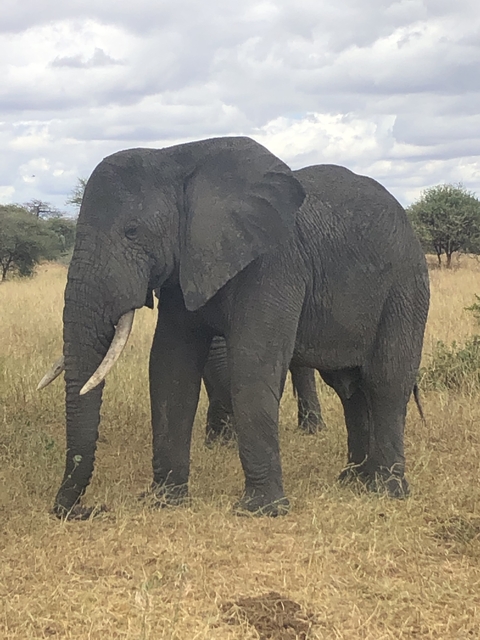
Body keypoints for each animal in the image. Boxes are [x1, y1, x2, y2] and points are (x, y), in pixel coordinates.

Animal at [38, 136, 429, 518]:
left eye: (132, 232)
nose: (88, 509)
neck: (176, 157)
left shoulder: (274, 263)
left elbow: (252, 367)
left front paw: (260, 511)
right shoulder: (186, 266)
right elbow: (170, 367)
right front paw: (164, 501)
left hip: (406, 286)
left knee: (386, 381)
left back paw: (387, 490)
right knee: (349, 387)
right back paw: (353, 481)